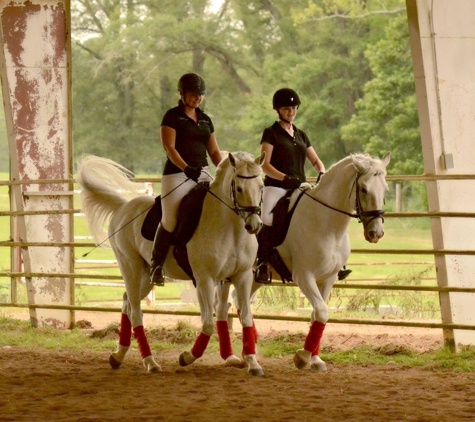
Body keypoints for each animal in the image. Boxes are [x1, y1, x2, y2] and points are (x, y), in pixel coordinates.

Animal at [76, 152, 266, 376]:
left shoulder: (242, 276)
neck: (230, 227)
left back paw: (118, 356)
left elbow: (245, 317)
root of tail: (123, 207)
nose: (254, 225)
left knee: (127, 302)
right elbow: (208, 324)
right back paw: (150, 362)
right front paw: (187, 357)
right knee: (136, 311)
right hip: (129, 267)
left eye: (261, 186)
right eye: (239, 188)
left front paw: (253, 363)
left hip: (145, 276)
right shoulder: (204, 280)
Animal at [230, 152, 390, 372]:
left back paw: (249, 350)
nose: (376, 233)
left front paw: (315, 359)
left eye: (385, 189)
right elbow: (321, 312)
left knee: (239, 300)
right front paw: (302, 357)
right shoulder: (304, 277)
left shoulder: (328, 278)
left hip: (253, 277)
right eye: (364, 189)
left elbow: (317, 315)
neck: (326, 224)